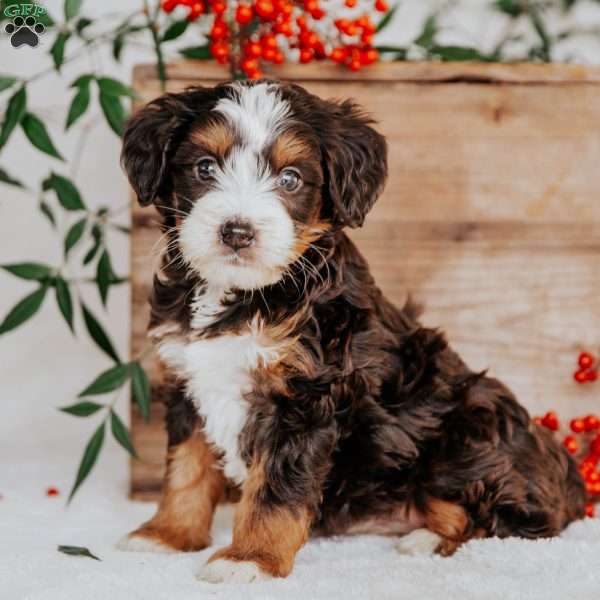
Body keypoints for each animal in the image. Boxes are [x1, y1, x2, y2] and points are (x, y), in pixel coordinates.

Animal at [118, 78, 584, 580]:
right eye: (204, 167)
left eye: (290, 179)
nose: (237, 232)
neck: (246, 293)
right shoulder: (188, 379)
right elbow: (185, 469)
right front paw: (168, 534)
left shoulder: (306, 398)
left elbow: (275, 489)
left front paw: (251, 559)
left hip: (469, 428)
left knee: (512, 520)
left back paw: (428, 539)